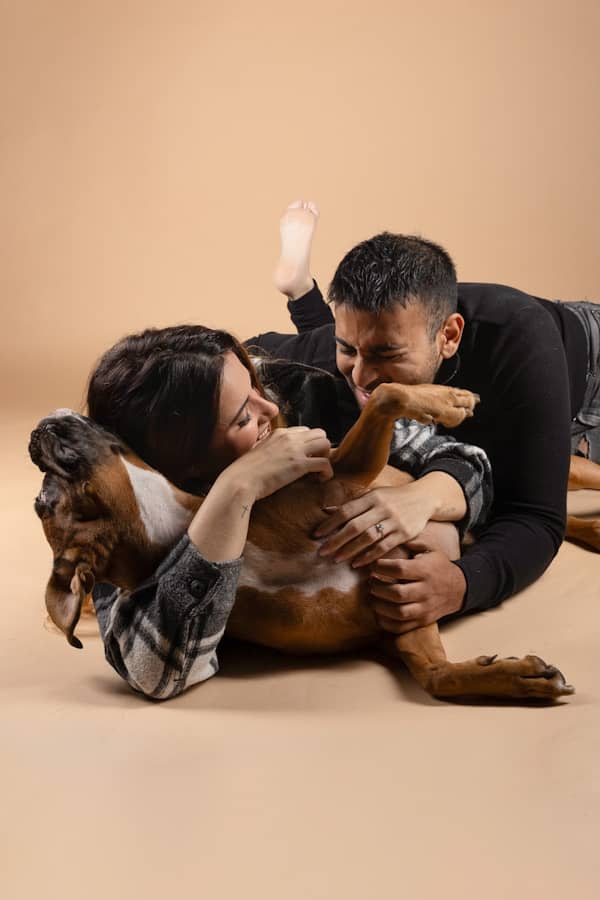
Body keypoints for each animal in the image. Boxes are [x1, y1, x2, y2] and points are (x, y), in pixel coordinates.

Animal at [29, 380, 576, 704]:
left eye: (42, 495)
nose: (36, 432)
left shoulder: (340, 477)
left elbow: (387, 392)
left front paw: (448, 399)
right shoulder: (398, 614)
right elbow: (438, 677)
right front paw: (518, 678)